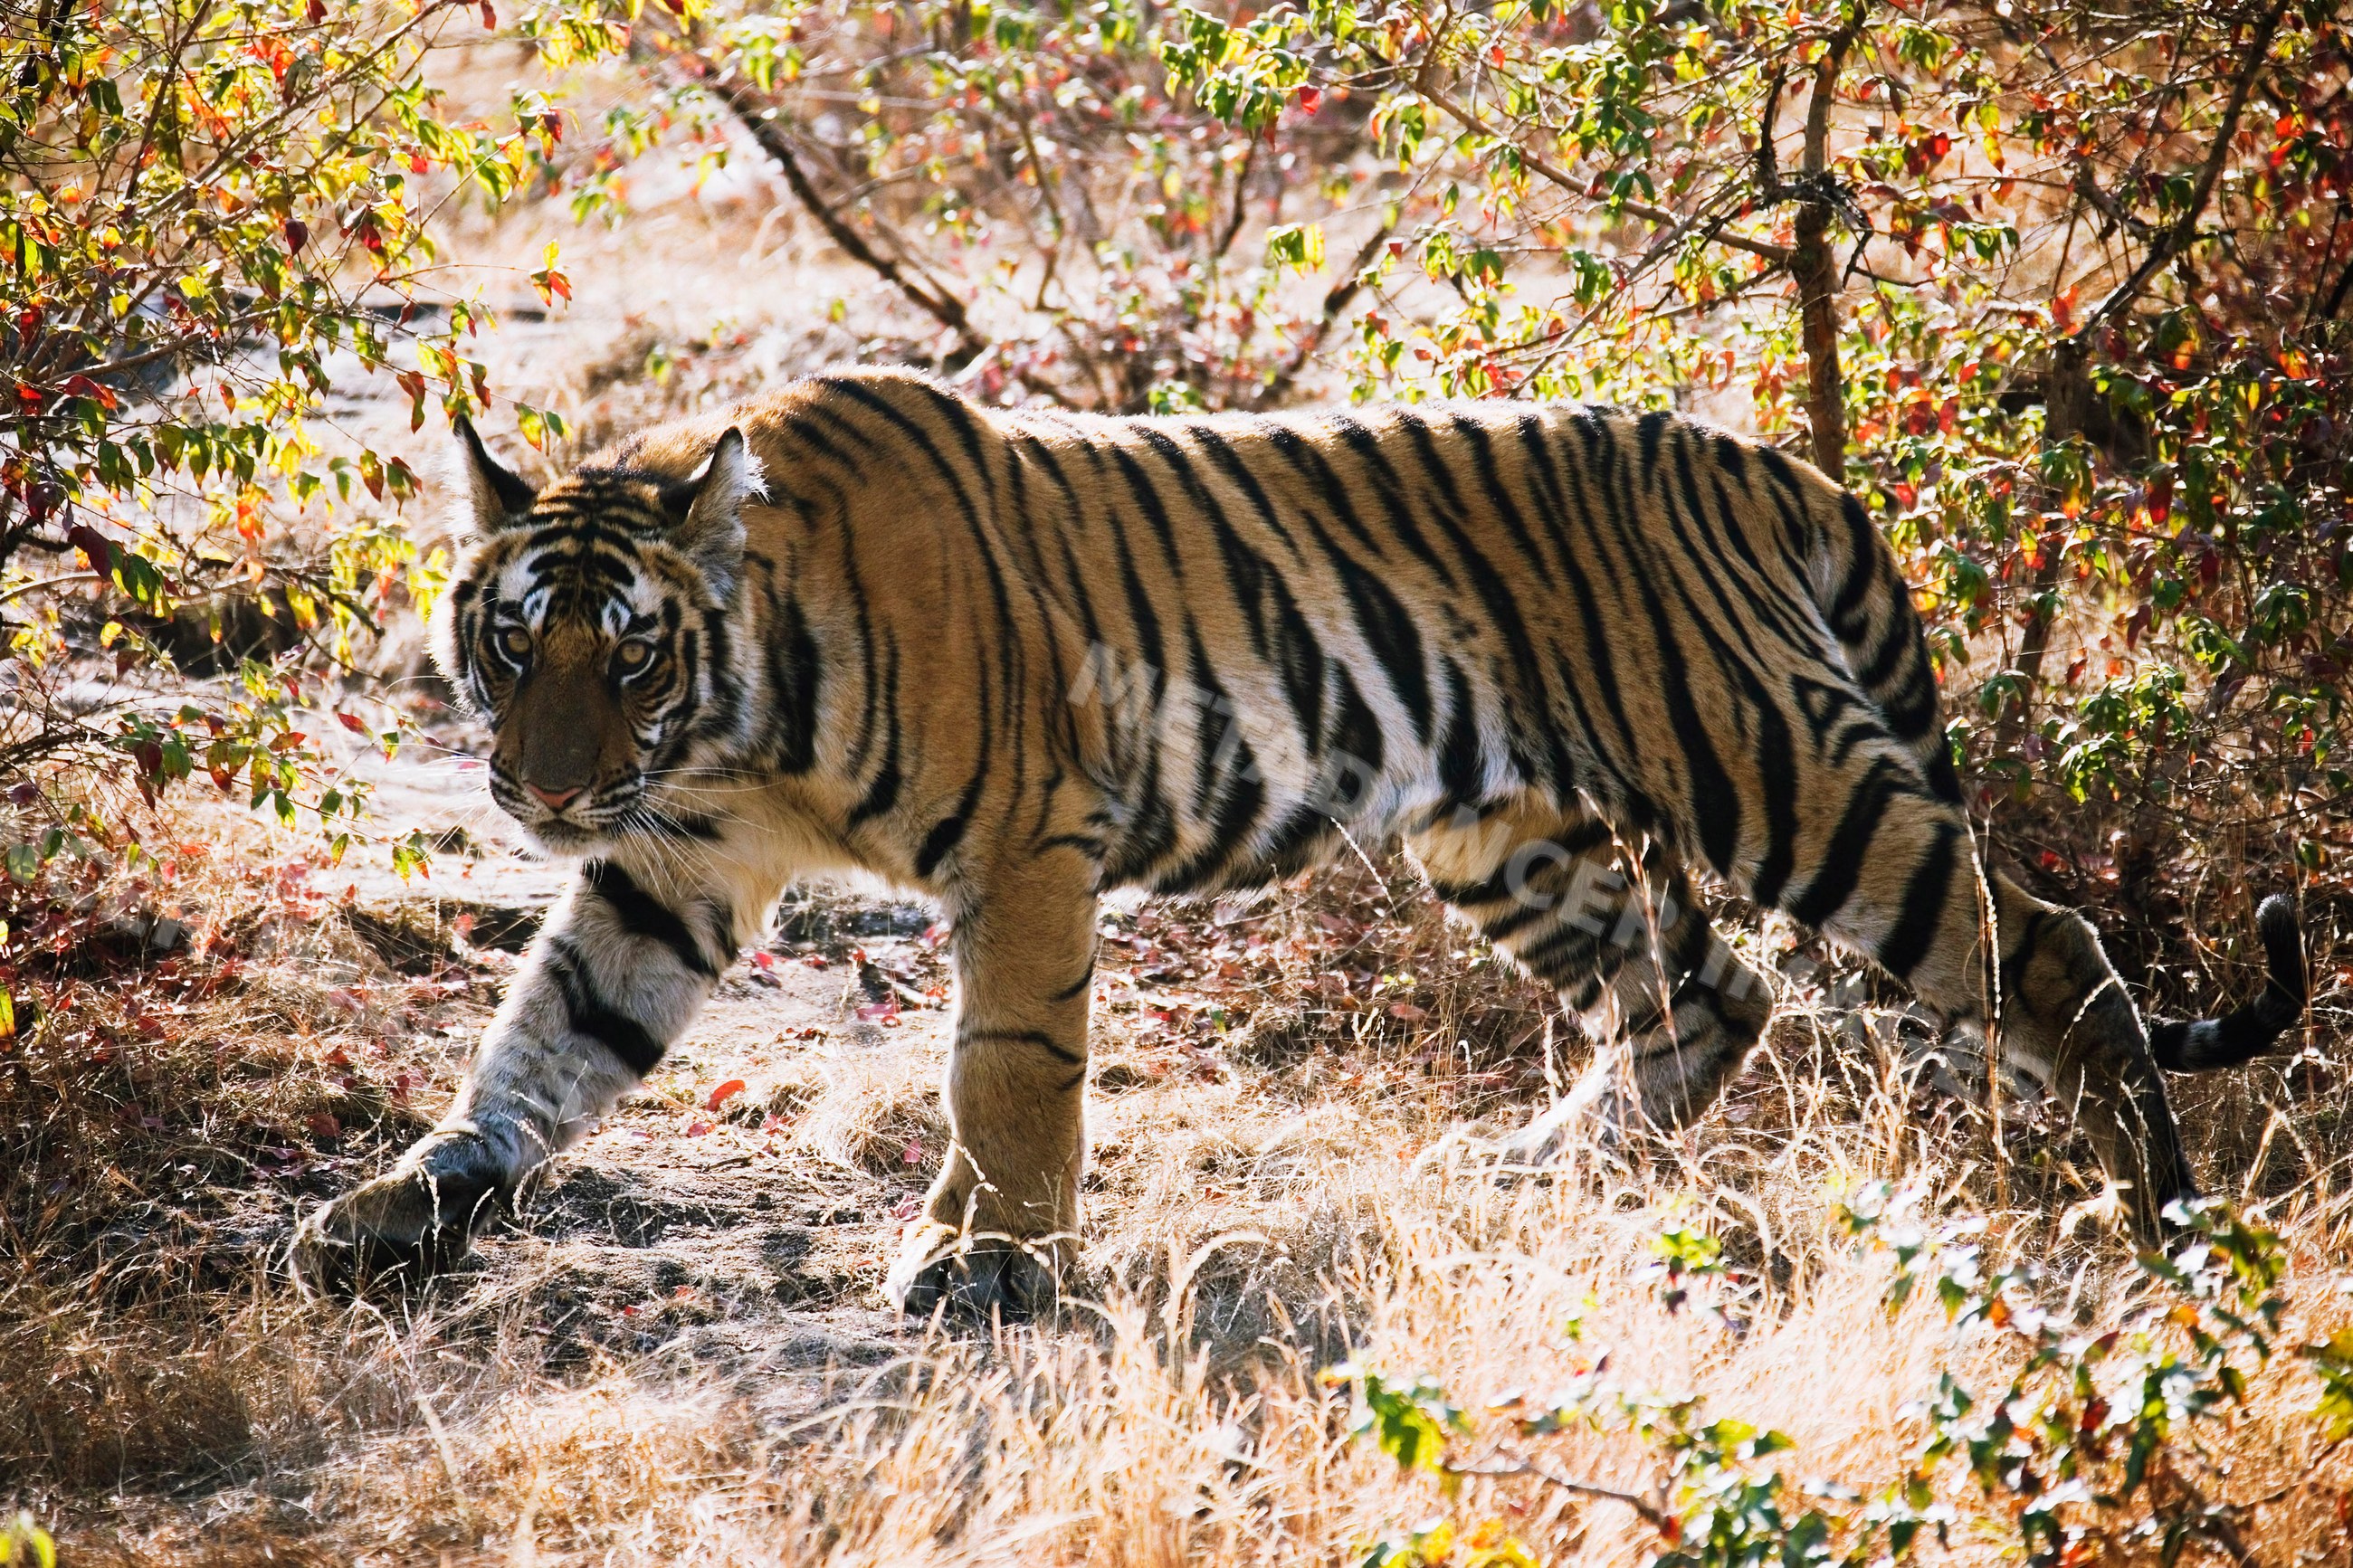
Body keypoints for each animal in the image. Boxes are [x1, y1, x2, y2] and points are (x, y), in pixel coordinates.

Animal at [291, 366, 2308, 1316]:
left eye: (627, 650)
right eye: (512, 641)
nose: (542, 791)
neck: (725, 721)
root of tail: (1766, 459)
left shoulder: (1028, 845)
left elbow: (1007, 1067)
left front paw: (987, 1263)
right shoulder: (671, 867)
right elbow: (544, 1040)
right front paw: (395, 1206)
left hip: (1782, 771)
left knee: (2048, 951)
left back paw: (2163, 1217)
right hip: (1502, 831)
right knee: (1704, 990)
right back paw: (1538, 1169)